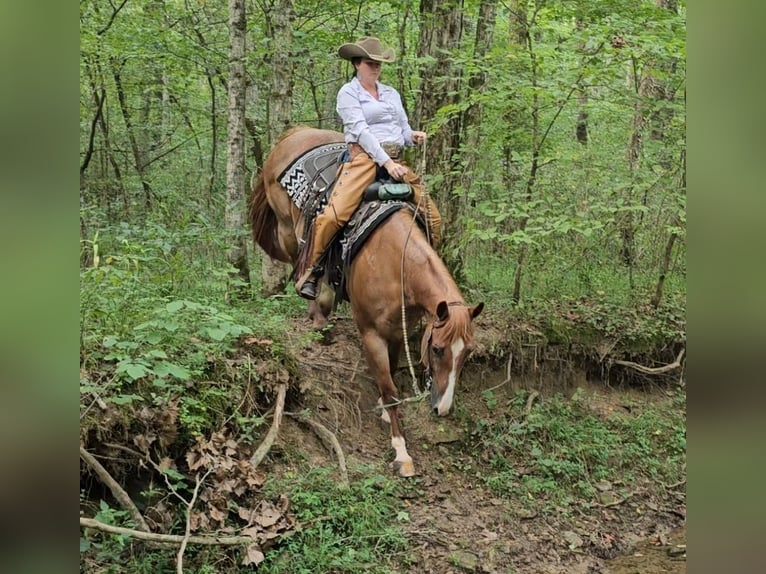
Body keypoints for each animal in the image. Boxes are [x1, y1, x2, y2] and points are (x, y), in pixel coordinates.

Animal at [249, 127, 484, 476]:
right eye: (438, 349)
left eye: (466, 352)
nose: (443, 410)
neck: (393, 263)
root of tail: (295, 133)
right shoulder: (371, 333)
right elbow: (389, 389)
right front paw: (401, 452)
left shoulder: (399, 329)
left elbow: (392, 373)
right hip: (289, 225)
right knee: (301, 254)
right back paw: (317, 312)